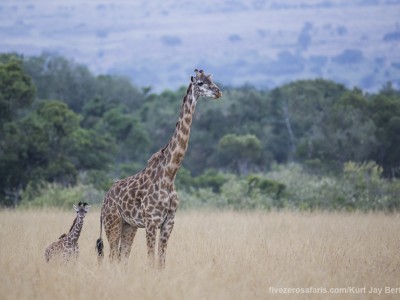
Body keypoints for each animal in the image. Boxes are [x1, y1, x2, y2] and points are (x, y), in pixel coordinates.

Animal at [97, 69, 222, 268]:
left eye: (212, 80)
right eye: (200, 83)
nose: (218, 92)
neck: (170, 174)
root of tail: (104, 200)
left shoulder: (169, 222)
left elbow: (161, 261)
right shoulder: (151, 221)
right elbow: (151, 260)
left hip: (129, 225)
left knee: (122, 257)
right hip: (113, 222)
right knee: (112, 257)